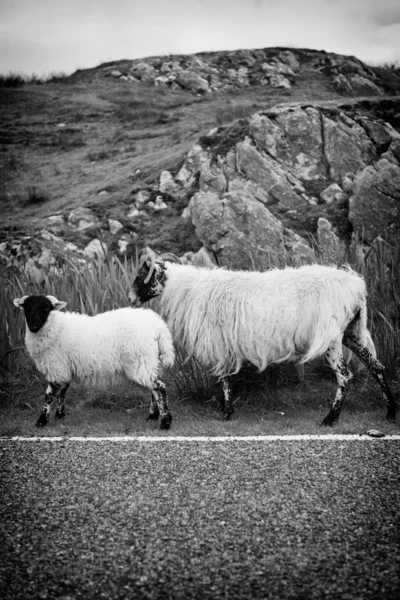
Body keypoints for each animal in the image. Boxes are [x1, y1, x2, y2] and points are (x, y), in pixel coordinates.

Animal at [13, 292, 175, 428]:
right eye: (26, 308)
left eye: (46, 308)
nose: (33, 326)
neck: (54, 326)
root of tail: (159, 326)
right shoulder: (64, 369)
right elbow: (63, 392)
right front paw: (60, 415)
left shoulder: (56, 368)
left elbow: (49, 395)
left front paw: (41, 420)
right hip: (150, 362)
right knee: (154, 389)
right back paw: (152, 416)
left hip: (140, 361)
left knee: (159, 388)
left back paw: (165, 421)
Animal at [128, 254, 396, 426]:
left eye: (141, 275)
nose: (130, 299)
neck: (185, 288)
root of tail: (355, 285)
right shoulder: (224, 344)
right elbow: (226, 378)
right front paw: (227, 410)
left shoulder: (218, 343)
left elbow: (224, 379)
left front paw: (227, 412)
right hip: (352, 332)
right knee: (377, 367)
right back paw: (390, 411)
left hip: (330, 337)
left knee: (345, 377)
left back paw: (330, 418)